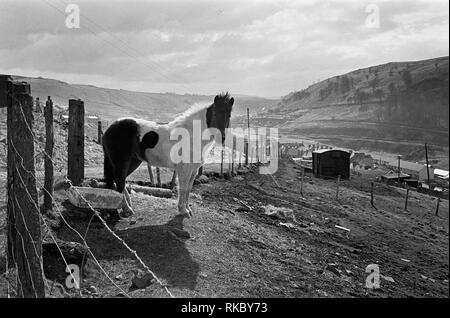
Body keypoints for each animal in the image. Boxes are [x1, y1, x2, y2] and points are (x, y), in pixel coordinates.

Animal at [103, 92, 234, 216]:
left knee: (119, 180)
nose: (221, 138)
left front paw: (188, 209)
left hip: (133, 161)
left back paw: (127, 205)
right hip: (122, 162)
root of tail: (109, 129)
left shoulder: (193, 170)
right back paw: (127, 209)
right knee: (119, 182)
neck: (192, 135)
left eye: (229, 115)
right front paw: (183, 211)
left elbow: (188, 189)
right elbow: (183, 188)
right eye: (215, 113)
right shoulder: (184, 169)